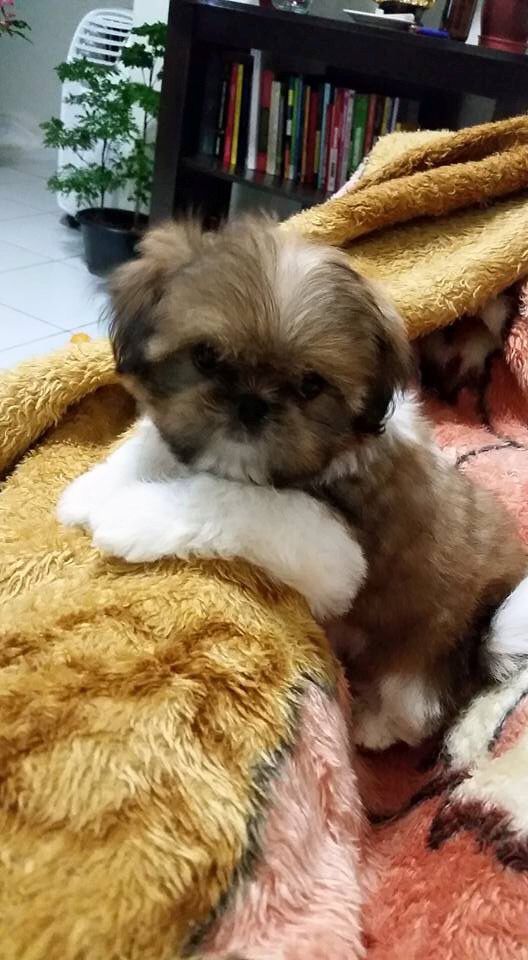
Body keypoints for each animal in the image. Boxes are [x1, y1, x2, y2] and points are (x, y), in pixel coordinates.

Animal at [57, 218, 528, 752]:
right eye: (206, 356)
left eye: (310, 385)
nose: (251, 404)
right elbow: (150, 443)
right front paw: (91, 490)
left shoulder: (336, 552)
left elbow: (229, 499)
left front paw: (130, 514)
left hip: (423, 656)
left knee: (415, 710)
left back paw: (371, 724)